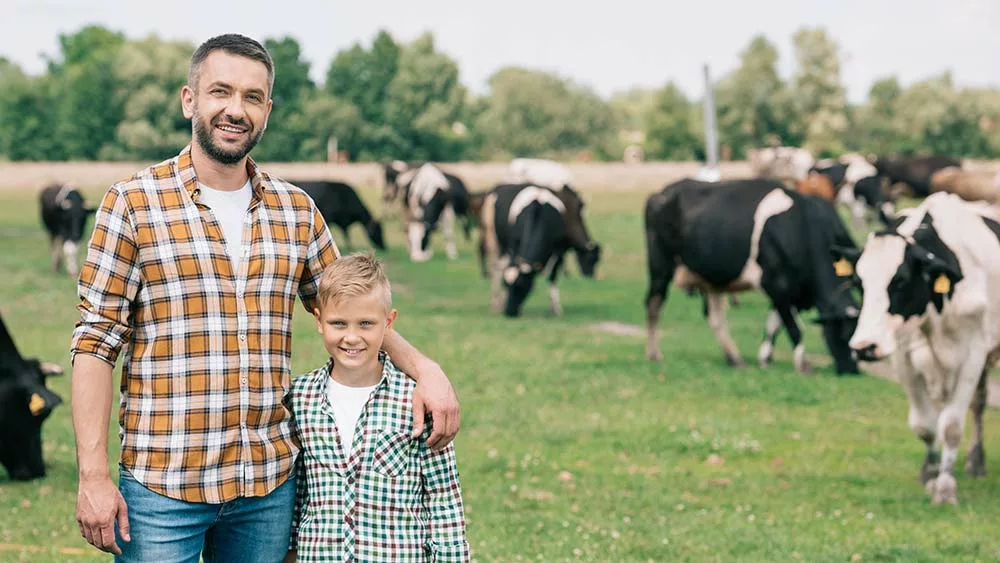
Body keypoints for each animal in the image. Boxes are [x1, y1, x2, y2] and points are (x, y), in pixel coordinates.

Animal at [478, 184, 600, 318]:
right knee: (496, 270)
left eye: (521, 285)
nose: (509, 312)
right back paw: (496, 304)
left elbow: (552, 277)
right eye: (506, 284)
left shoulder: (558, 252)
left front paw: (555, 309)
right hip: (495, 242)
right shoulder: (514, 245)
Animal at [644, 178, 864, 376]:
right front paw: (803, 365)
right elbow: (794, 327)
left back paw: (734, 358)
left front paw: (764, 359)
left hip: (712, 278)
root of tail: (662, 192)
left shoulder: (789, 290)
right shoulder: (776, 284)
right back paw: (654, 354)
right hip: (660, 266)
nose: (851, 370)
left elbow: (773, 324)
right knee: (653, 304)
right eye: (843, 334)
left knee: (716, 318)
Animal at [832, 192, 1000, 504]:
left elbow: (951, 426)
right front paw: (930, 474)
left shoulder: (973, 354)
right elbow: (925, 424)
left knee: (978, 403)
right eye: (859, 282)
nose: (864, 346)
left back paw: (976, 460)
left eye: (900, 280)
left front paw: (945, 488)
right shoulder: (903, 356)